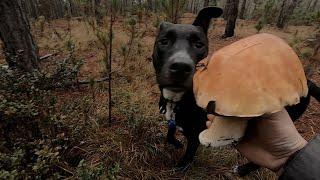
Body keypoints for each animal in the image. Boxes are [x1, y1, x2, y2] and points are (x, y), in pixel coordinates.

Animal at [152, 7, 320, 174]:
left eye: (199, 44)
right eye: (163, 42)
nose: (181, 67)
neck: (176, 101)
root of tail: (307, 81)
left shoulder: (195, 136)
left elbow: (188, 155)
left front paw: (180, 167)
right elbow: (170, 132)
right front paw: (175, 142)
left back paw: (243, 169)